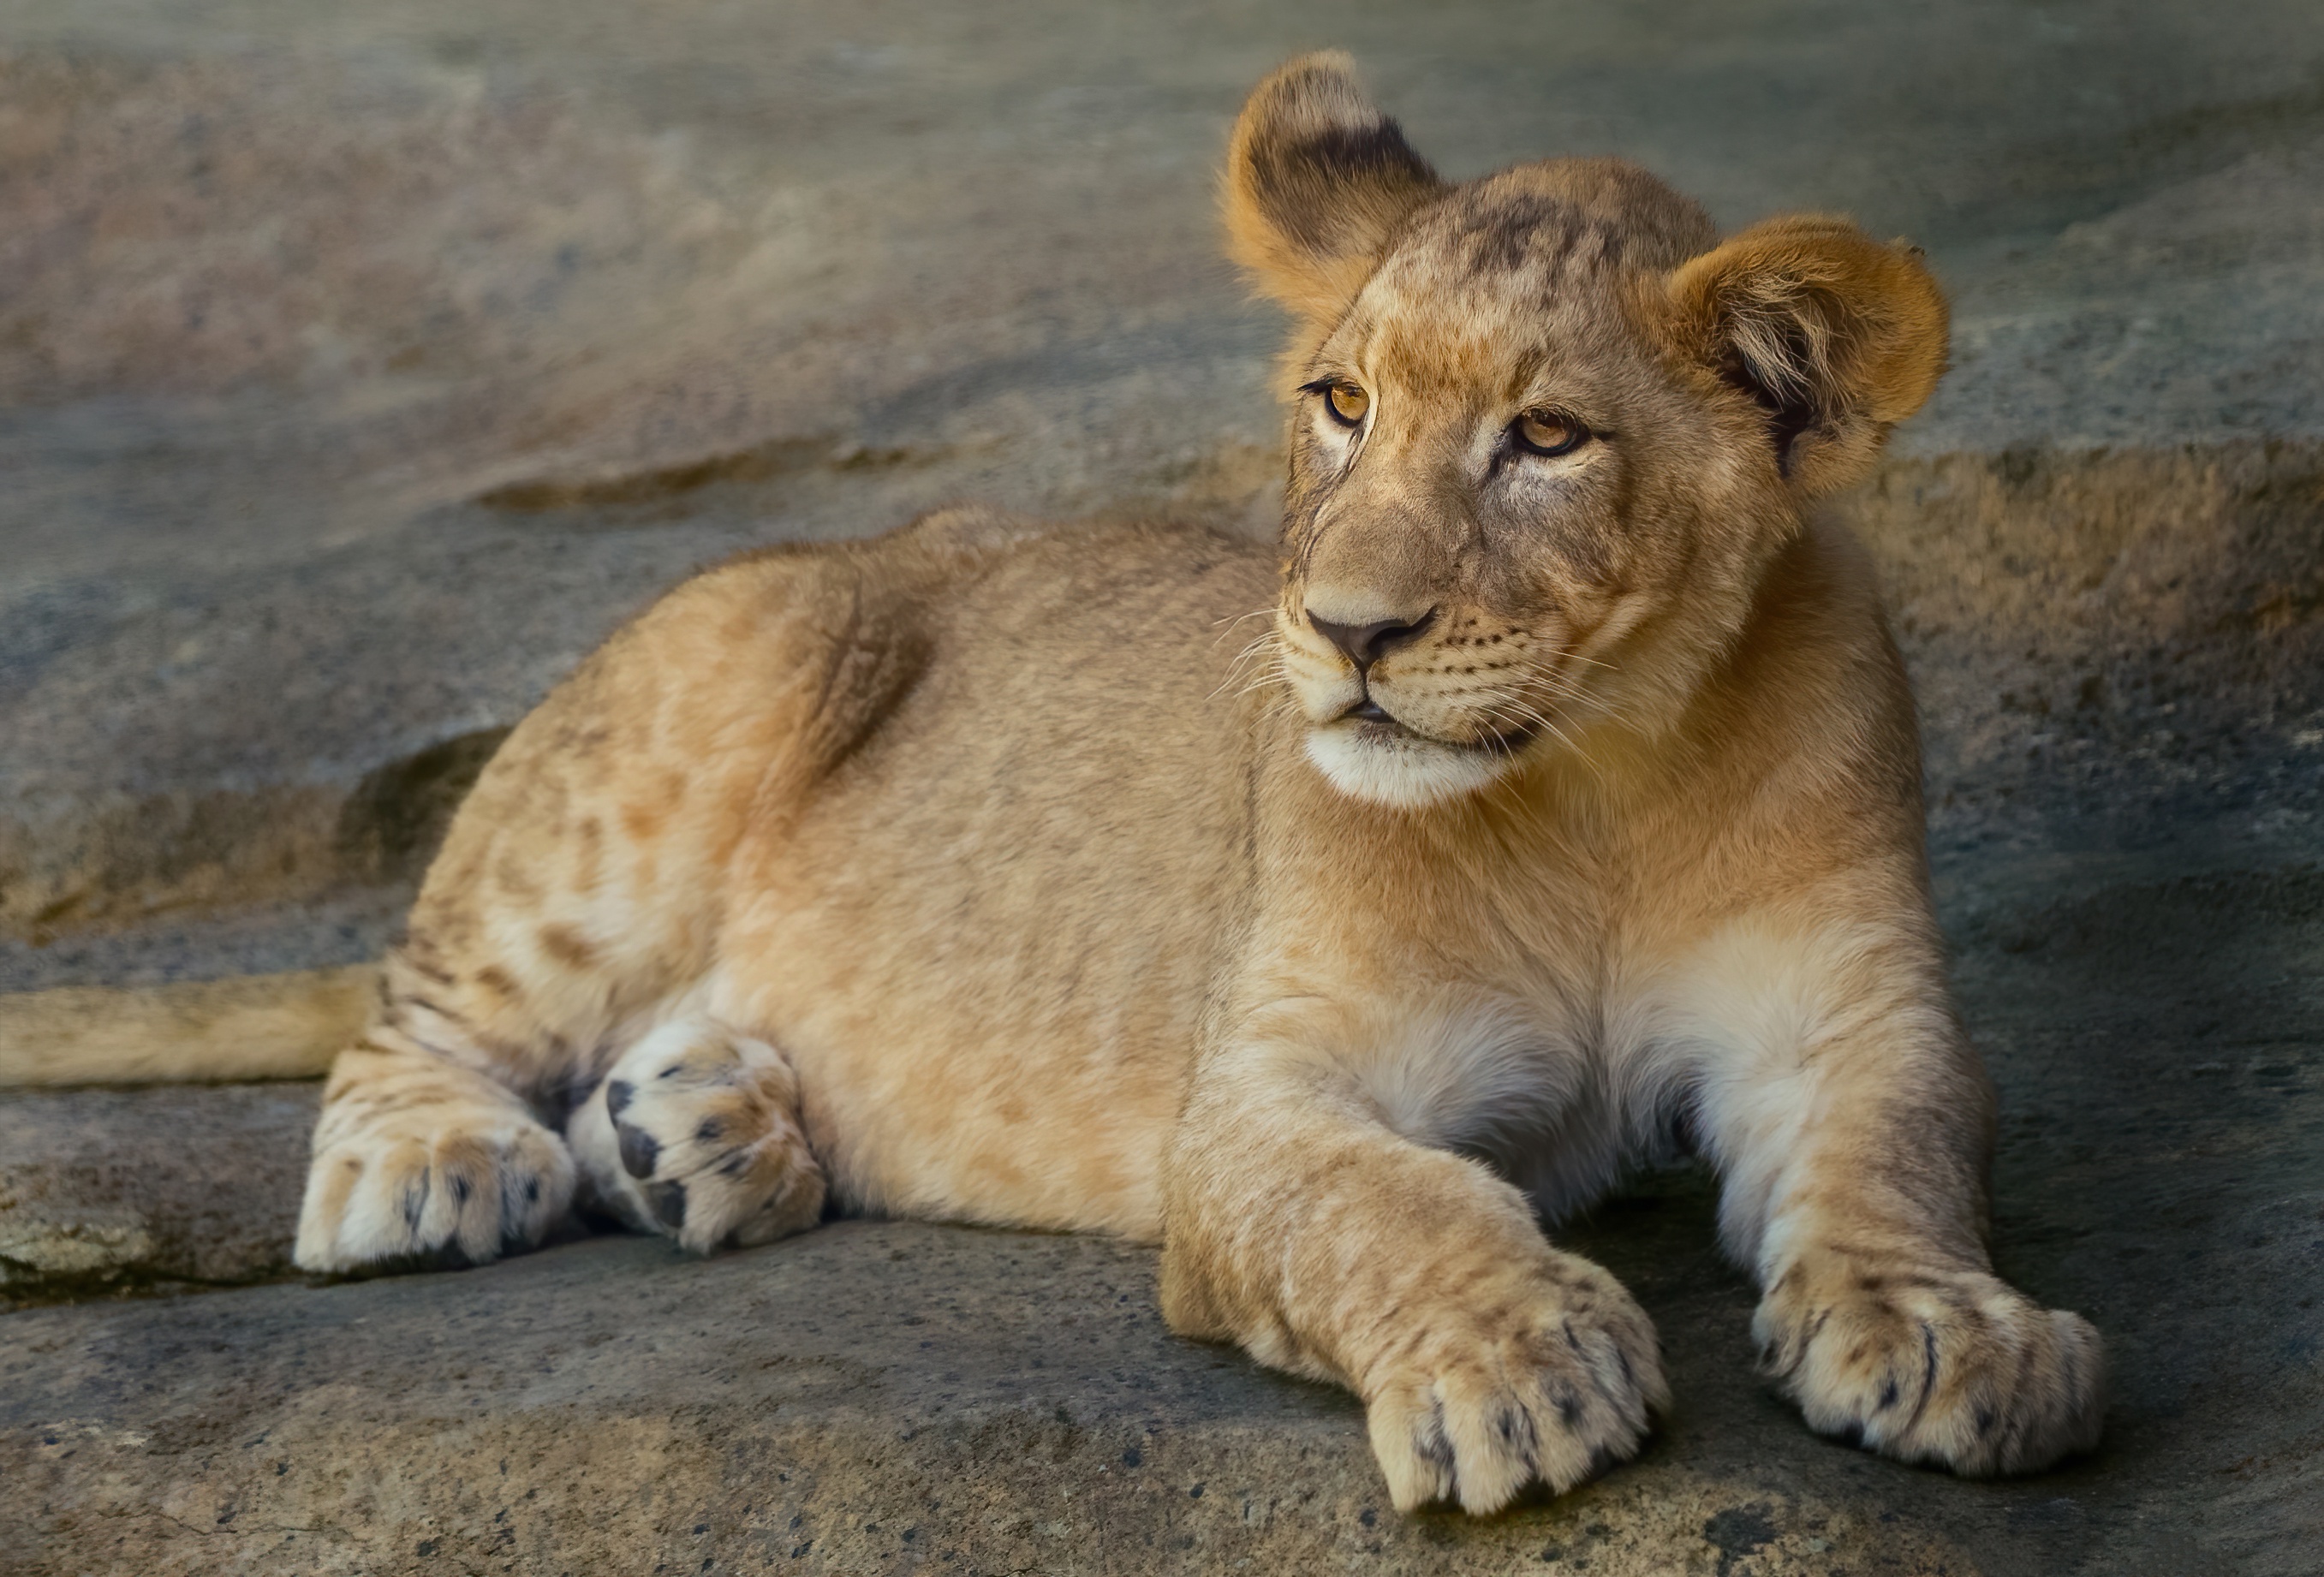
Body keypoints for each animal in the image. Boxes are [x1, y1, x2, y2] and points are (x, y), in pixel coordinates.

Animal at [109, 52, 2119, 1514]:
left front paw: (1953, 1339)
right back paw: (449, 1163)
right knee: (410, 1015)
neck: (1593, 779)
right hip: (732, 665)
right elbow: (1386, 1205)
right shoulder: (1255, 1098)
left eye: (1546, 439)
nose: (1348, 632)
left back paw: (703, 1136)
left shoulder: (1845, 1016)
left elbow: (1896, 1152)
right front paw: (1514, 1367)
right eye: (1340, 407)